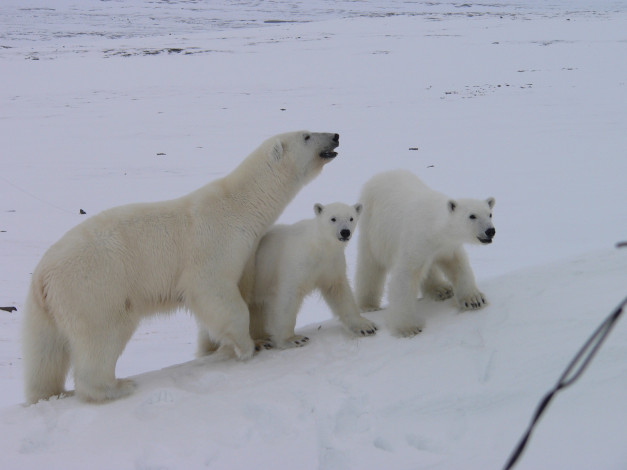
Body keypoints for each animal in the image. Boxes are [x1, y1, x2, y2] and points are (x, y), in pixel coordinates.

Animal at [23, 129, 338, 404]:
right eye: (306, 135)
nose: (335, 135)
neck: (242, 205)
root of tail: (43, 275)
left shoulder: (248, 251)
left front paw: (233, 343)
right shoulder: (216, 242)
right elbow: (214, 291)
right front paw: (248, 346)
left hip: (46, 307)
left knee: (44, 352)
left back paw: (49, 393)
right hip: (93, 287)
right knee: (103, 334)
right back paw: (115, 387)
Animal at [247, 202, 378, 348]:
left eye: (351, 218)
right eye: (333, 218)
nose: (345, 232)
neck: (319, 246)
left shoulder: (331, 265)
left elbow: (339, 292)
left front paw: (365, 326)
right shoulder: (296, 263)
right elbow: (288, 297)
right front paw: (293, 339)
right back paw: (260, 342)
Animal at [354, 171, 496, 336]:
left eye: (490, 214)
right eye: (472, 216)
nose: (490, 231)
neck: (435, 226)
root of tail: (379, 175)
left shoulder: (446, 246)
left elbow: (458, 265)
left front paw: (474, 299)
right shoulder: (416, 239)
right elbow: (405, 276)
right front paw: (408, 327)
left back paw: (441, 289)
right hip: (372, 228)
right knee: (370, 266)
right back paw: (368, 304)